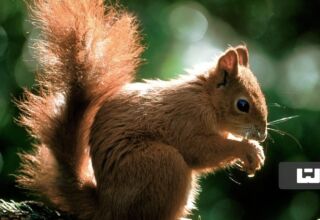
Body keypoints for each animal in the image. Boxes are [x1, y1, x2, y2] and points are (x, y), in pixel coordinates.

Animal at [16, 0, 268, 220]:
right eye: (242, 105)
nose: (263, 134)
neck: (206, 99)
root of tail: (106, 208)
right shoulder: (186, 120)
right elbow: (200, 150)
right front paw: (248, 149)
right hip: (161, 164)